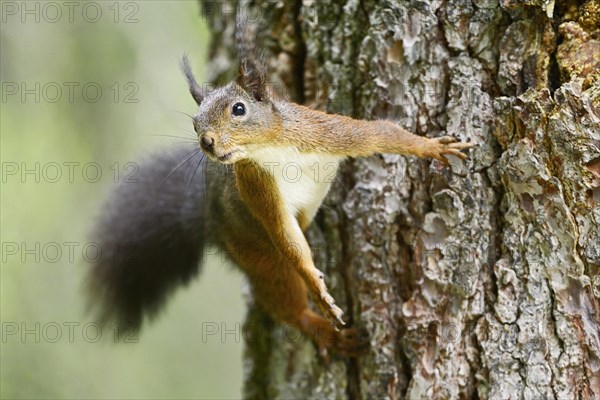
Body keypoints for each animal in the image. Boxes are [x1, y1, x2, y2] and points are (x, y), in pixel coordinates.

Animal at [89, 21, 474, 356]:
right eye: (195, 123)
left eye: (239, 109)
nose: (206, 142)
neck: (270, 149)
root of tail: (209, 220)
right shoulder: (255, 185)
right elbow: (285, 237)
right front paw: (319, 289)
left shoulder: (325, 132)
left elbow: (381, 133)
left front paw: (433, 147)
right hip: (255, 253)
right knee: (284, 296)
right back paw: (320, 326)